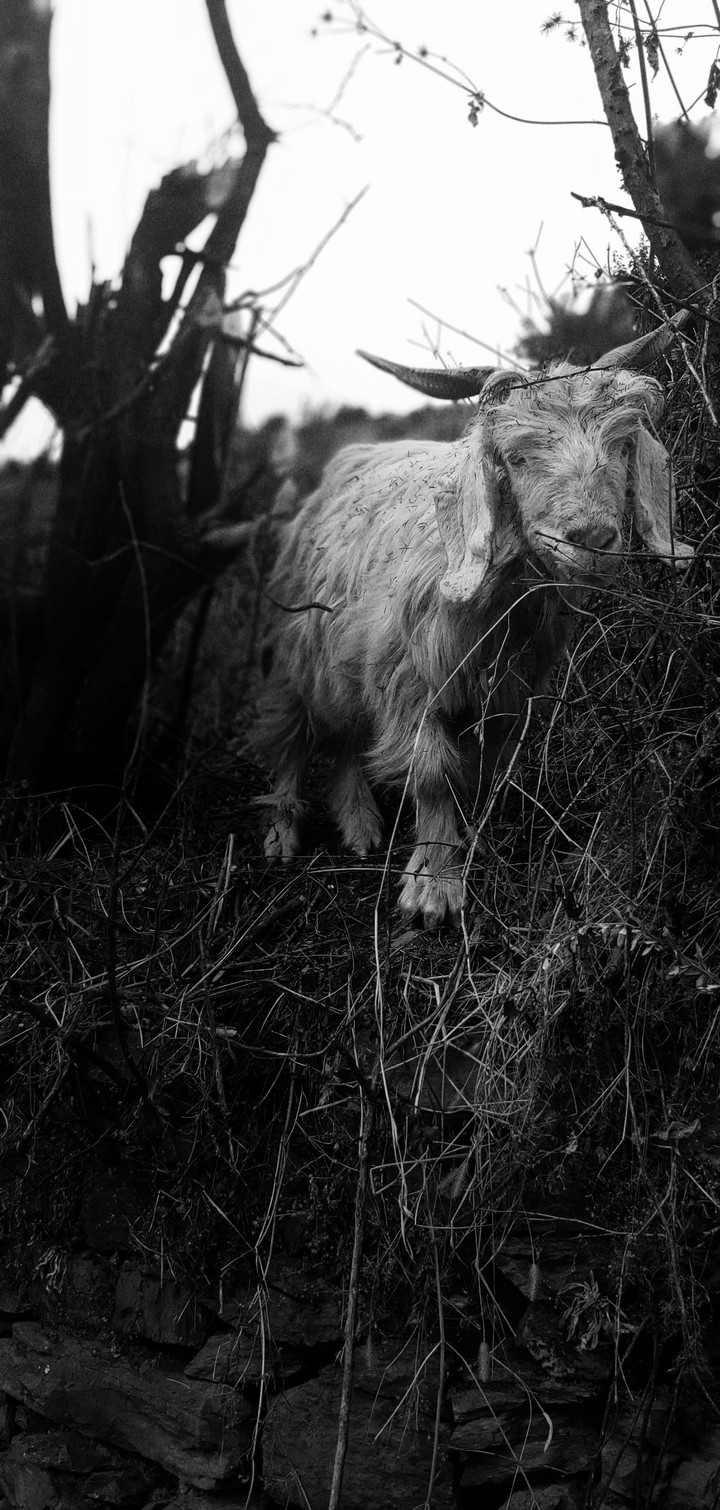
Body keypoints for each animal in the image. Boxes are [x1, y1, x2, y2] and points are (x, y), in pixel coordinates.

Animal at [251, 316, 692, 928]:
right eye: (518, 457)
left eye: (622, 445)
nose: (593, 539)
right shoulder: (408, 681)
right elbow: (433, 773)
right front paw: (434, 889)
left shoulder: (511, 693)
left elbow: (486, 770)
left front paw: (478, 845)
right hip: (297, 648)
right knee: (290, 733)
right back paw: (281, 836)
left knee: (346, 738)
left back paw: (361, 829)